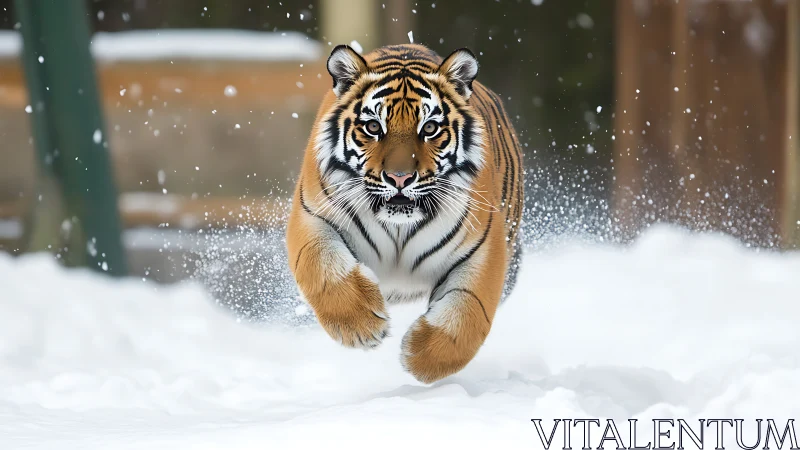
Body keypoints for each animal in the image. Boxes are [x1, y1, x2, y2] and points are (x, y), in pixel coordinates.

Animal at [286, 43, 524, 383]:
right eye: (373, 127)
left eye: (430, 128)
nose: (400, 178)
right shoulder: (313, 216)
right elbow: (323, 270)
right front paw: (364, 327)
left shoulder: (483, 250)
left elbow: (467, 314)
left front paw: (419, 356)